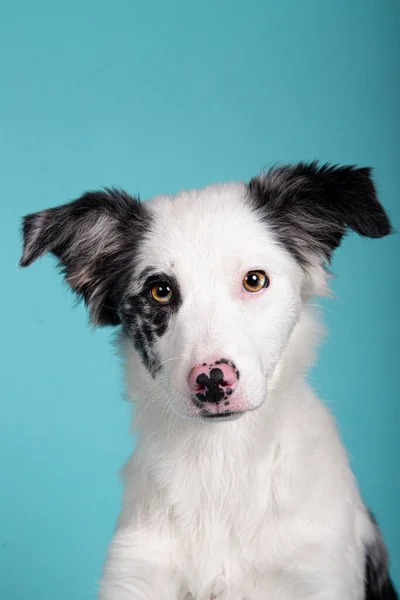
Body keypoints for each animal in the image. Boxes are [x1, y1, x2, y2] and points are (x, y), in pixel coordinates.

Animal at [21, 163, 396, 600]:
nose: (213, 382)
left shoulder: (316, 576)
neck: (221, 462)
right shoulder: (136, 575)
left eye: (254, 280)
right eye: (160, 291)